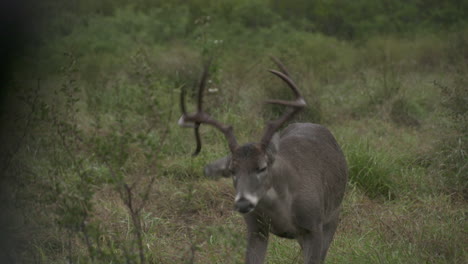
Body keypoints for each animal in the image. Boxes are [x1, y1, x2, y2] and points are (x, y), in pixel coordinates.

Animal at [178, 58, 348, 264]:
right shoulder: (256, 228)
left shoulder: (314, 225)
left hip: (333, 215)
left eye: (262, 167)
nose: (243, 203)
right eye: (232, 170)